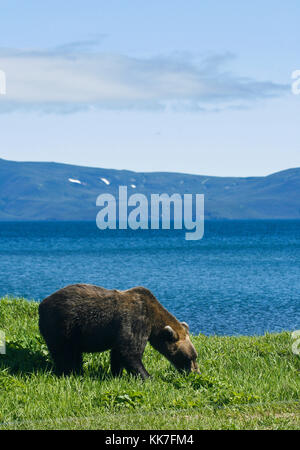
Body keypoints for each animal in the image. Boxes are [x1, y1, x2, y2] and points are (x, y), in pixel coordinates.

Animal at [39, 284, 199, 376]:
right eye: (188, 358)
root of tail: (43, 303)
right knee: (63, 352)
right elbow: (129, 352)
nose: (195, 372)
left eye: (195, 356)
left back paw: (78, 371)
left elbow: (117, 353)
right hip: (62, 325)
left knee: (74, 353)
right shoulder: (136, 321)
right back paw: (68, 373)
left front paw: (117, 374)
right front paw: (147, 376)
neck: (153, 320)